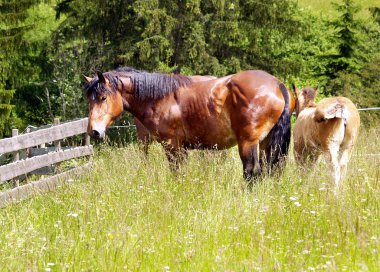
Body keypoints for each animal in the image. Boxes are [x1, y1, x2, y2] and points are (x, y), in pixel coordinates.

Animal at [84, 66, 294, 180]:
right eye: (89, 99)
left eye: (103, 97)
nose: (93, 131)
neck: (162, 98)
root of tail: (277, 84)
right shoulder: (182, 149)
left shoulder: (172, 146)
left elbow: (176, 173)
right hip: (266, 143)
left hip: (248, 143)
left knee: (252, 172)